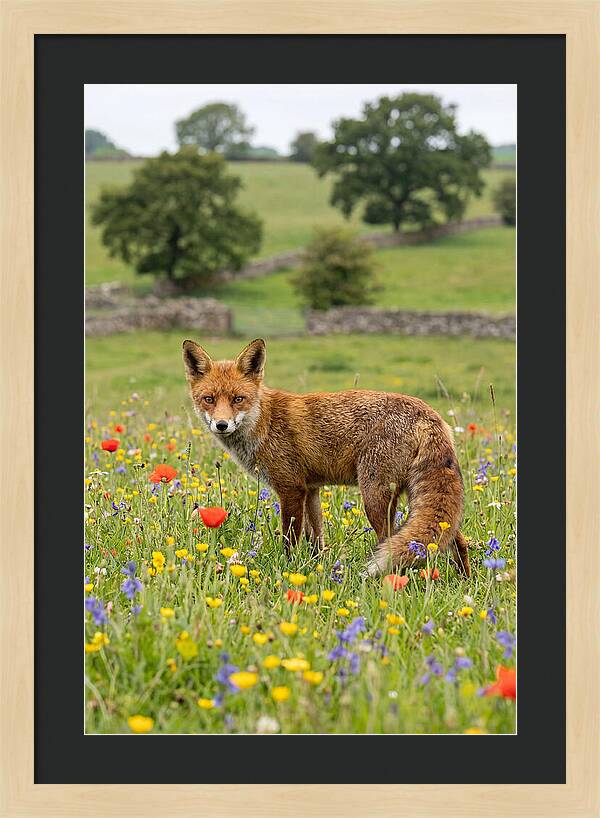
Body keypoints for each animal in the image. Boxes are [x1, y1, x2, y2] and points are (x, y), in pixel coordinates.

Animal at [183, 337, 470, 578]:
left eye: (238, 399)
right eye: (209, 399)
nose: (221, 425)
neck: (264, 422)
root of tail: (428, 413)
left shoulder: (291, 488)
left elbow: (290, 539)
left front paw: (288, 569)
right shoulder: (311, 489)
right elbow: (316, 539)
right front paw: (316, 568)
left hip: (375, 496)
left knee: (389, 542)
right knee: (456, 540)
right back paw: (464, 580)